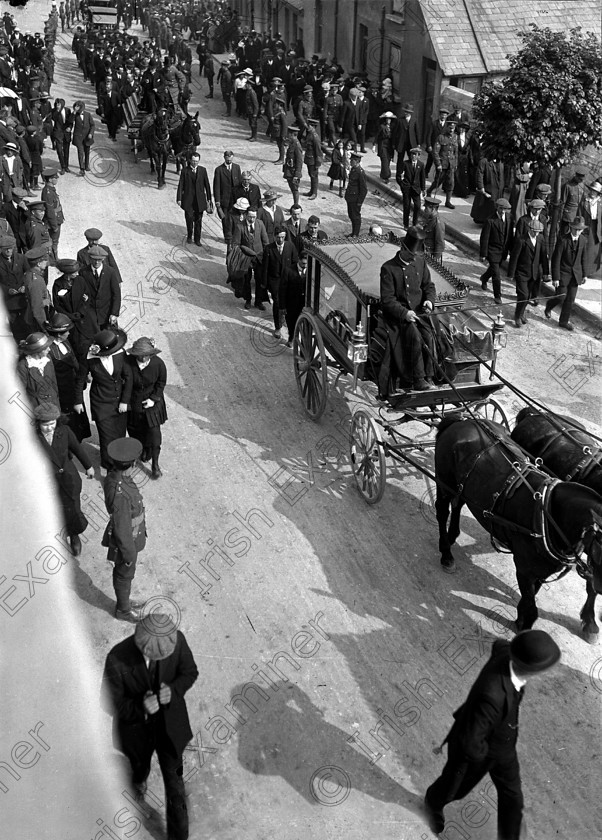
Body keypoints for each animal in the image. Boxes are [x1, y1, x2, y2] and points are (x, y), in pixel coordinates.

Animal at [434, 416, 596, 640]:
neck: (549, 514)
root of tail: (461, 420)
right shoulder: (525, 568)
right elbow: (531, 606)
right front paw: (525, 626)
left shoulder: (542, 569)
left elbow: (531, 596)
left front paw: (520, 618)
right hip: (444, 481)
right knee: (442, 511)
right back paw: (446, 552)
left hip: (463, 486)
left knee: (458, 504)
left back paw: (451, 537)